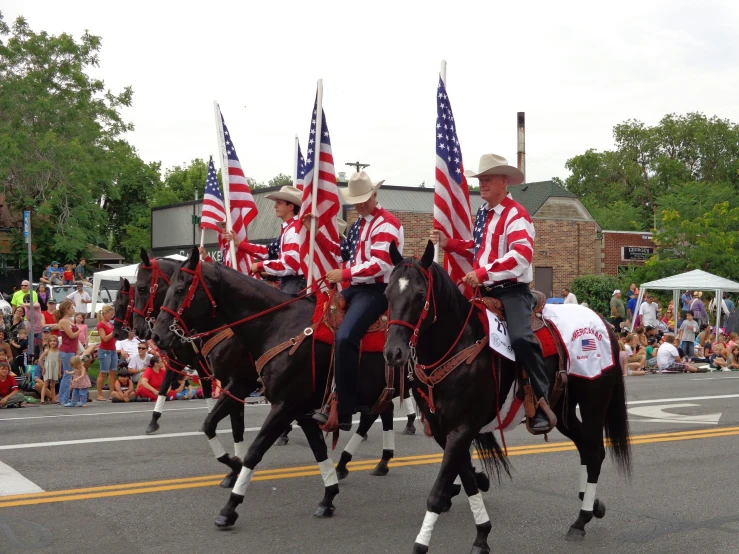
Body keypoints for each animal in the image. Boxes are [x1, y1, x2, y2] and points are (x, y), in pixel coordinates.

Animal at [384, 242, 632, 552]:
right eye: (387, 293)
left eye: (420, 295)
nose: (393, 353)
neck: (459, 345)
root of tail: (603, 323)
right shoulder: (445, 431)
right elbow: (467, 480)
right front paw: (482, 534)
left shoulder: (463, 428)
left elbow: (439, 490)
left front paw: (421, 543)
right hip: (561, 412)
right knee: (586, 449)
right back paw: (590, 508)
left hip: (593, 402)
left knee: (596, 452)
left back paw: (581, 520)